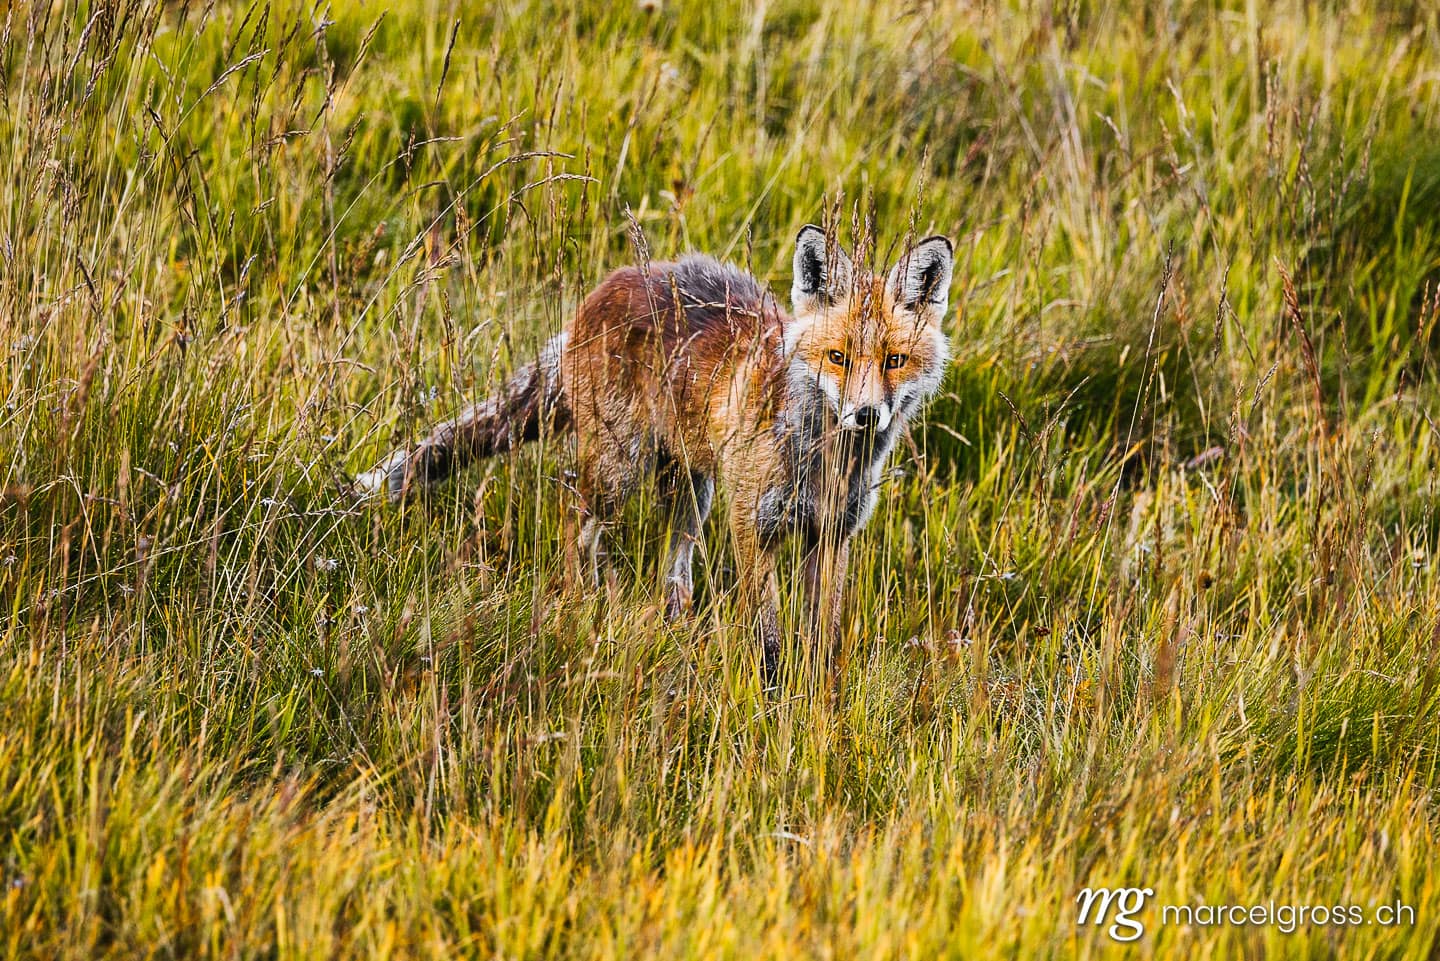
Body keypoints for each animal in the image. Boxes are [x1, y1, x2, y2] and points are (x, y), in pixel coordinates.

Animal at [353, 225, 954, 683]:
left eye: (894, 360)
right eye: (837, 357)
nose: (866, 415)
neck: (824, 462)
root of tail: (605, 289)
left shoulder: (831, 536)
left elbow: (820, 633)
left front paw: (816, 696)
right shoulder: (751, 527)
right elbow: (766, 633)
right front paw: (772, 696)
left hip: (691, 494)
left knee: (673, 572)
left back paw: (668, 622)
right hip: (619, 471)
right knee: (575, 525)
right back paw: (582, 607)